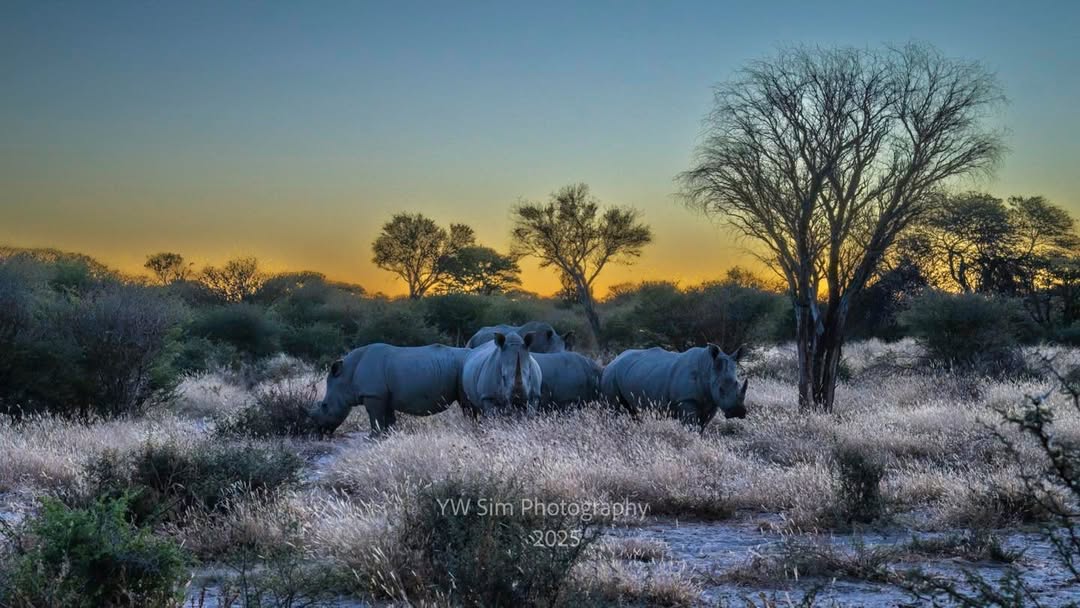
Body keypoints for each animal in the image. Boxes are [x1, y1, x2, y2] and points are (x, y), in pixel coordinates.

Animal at [309, 343, 469, 435]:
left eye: (324, 406)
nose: (320, 431)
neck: (347, 376)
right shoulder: (383, 395)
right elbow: (388, 418)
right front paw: (388, 435)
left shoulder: (373, 395)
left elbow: (374, 417)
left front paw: (373, 437)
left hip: (463, 367)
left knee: (466, 405)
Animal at [600, 344, 747, 428]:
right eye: (720, 389)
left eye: (738, 384)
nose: (738, 411)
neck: (708, 369)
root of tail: (613, 360)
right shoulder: (686, 400)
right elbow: (691, 427)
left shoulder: (711, 402)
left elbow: (702, 427)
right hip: (611, 375)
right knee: (614, 409)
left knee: (632, 412)